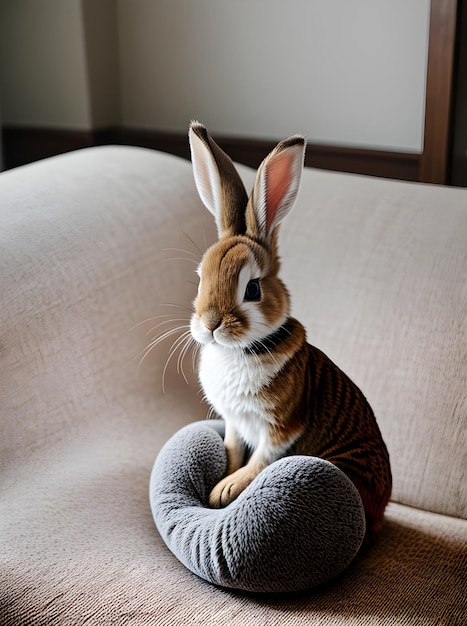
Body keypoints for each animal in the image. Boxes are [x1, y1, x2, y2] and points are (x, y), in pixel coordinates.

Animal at [188, 123, 394, 540]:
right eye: (200, 279)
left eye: (252, 289)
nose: (211, 324)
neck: (241, 350)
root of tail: (381, 510)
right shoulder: (234, 423)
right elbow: (234, 449)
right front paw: (224, 479)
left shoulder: (281, 427)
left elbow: (261, 460)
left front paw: (225, 490)